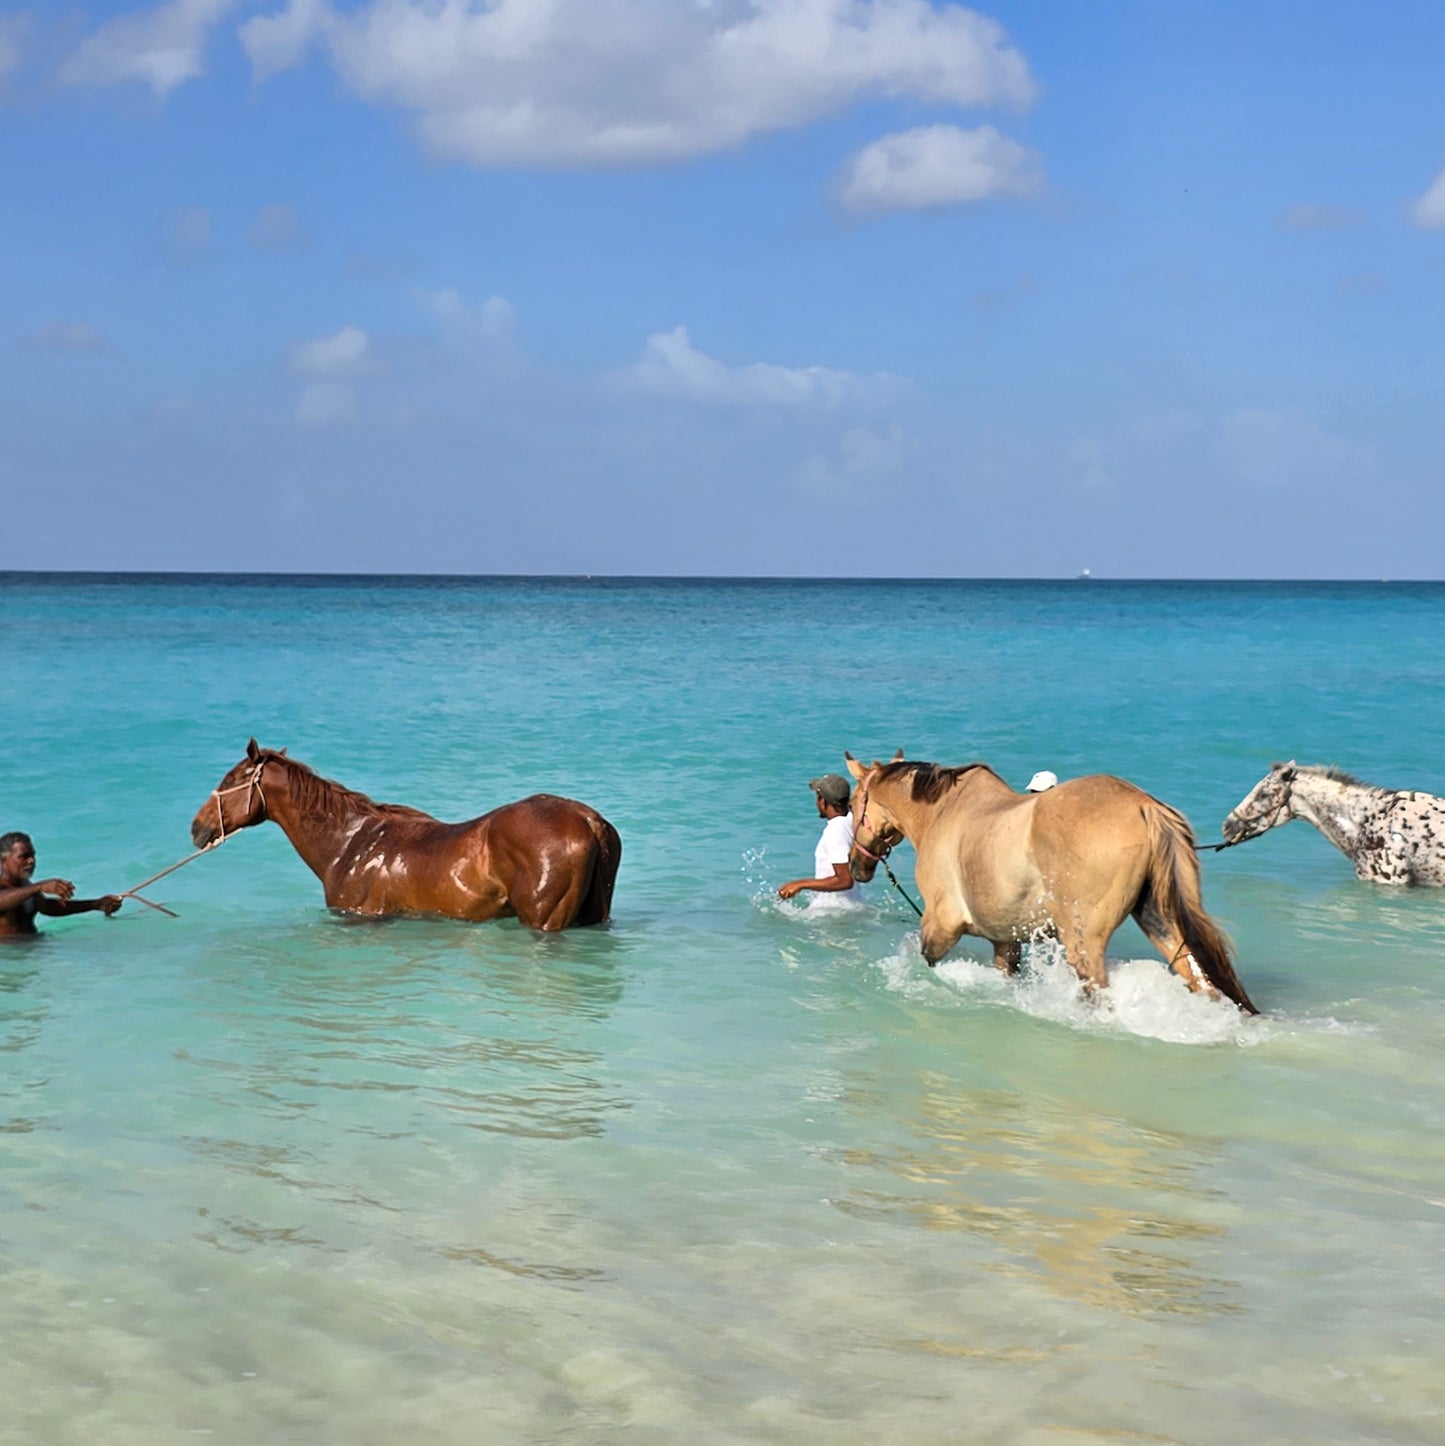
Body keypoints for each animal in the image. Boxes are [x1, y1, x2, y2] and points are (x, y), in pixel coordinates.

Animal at [845, 754, 1257, 1014]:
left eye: (853, 804)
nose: (855, 865)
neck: (943, 813)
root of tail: (1143, 805)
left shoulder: (941, 924)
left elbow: (925, 960)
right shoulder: (1005, 940)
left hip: (1084, 943)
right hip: (1160, 922)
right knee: (1201, 979)